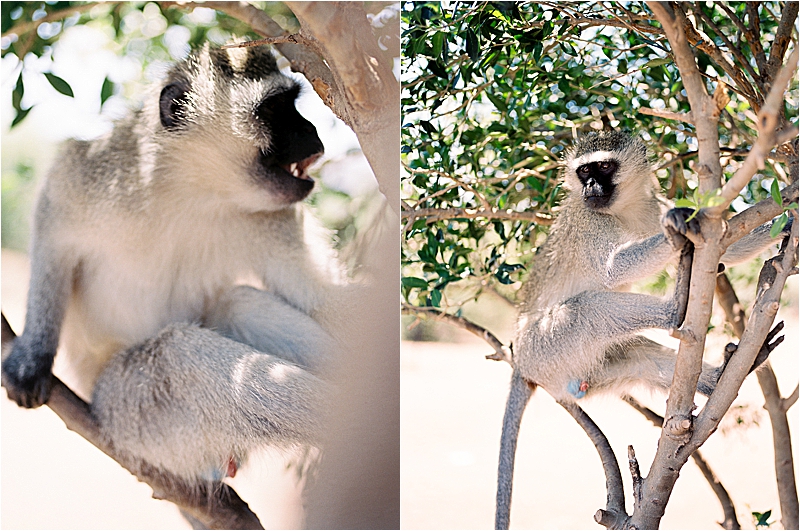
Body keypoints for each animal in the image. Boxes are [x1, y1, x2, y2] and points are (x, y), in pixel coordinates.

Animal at [1, 44, 341, 485]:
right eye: (273, 109)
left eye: (291, 105)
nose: (313, 135)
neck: (188, 189)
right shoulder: (94, 174)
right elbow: (53, 231)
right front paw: (32, 357)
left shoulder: (273, 216)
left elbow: (323, 297)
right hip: (135, 418)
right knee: (179, 355)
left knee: (237, 304)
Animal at [494, 131, 790, 529]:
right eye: (583, 170)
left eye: (603, 167)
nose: (589, 186)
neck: (623, 209)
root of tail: (521, 362)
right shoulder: (589, 221)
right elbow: (614, 270)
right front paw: (678, 223)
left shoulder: (651, 204)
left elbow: (729, 243)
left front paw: (788, 212)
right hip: (547, 347)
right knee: (587, 309)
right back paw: (675, 309)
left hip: (587, 368)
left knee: (639, 357)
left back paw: (726, 371)